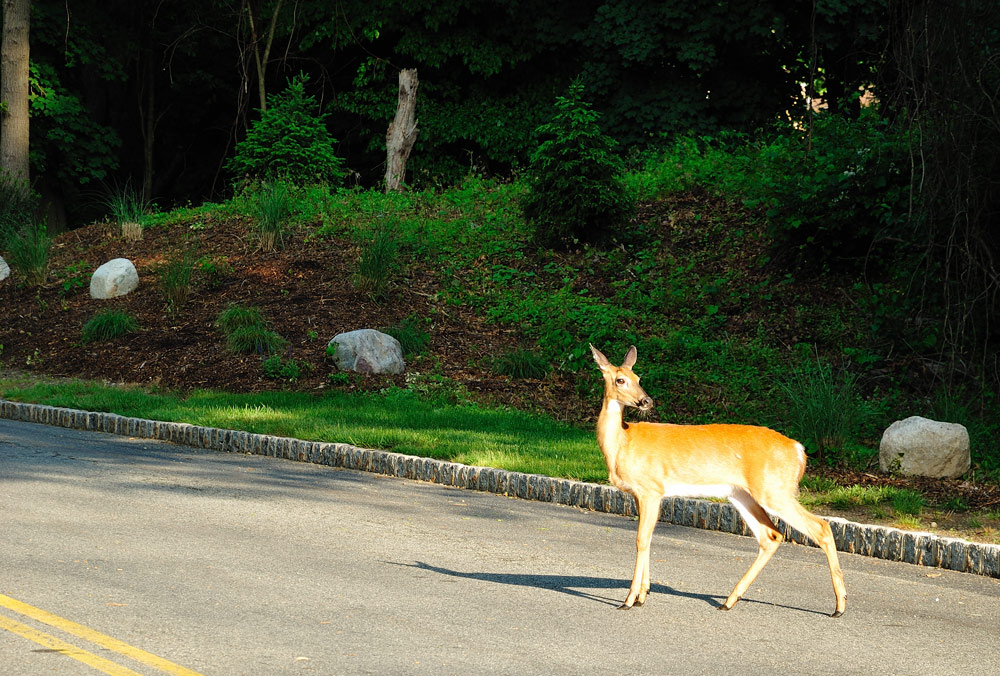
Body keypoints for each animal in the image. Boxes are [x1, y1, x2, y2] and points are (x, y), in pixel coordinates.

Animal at [588, 344, 848, 616]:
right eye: (621, 379)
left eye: (638, 378)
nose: (646, 401)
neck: (621, 444)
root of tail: (799, 450)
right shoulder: (642, 494)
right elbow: (647, 538)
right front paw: (642, 595)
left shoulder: (651, 489)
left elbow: (641, 539)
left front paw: (629, 600)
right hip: (742, 494)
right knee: (771, 535)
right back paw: (729, 600)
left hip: (773, 489)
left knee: (821, 527)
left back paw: (839, 606)